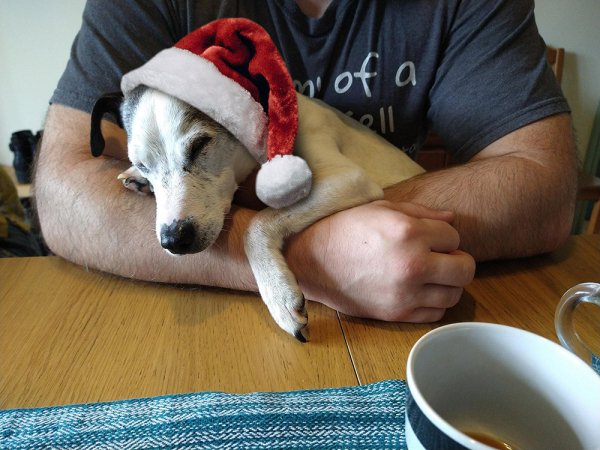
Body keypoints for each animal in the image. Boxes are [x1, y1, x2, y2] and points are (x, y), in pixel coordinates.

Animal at [91, 86, 424, 342]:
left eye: (200, 144)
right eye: (142, 163)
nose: (174, 240)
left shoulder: (349, 178)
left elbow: (256, 223)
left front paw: (277, 295)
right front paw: (137, 178)